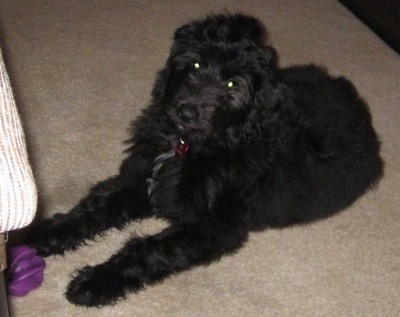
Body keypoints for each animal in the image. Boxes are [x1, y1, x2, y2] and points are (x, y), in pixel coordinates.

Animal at [26, 13, 382, 304]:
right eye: (195, 64)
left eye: (232, 84)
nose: (187, 111)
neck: (192, 145)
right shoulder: (144, 179)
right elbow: (97, 206)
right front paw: (40, 235)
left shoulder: (212, 226)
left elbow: (148, 250)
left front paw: (96, 281)